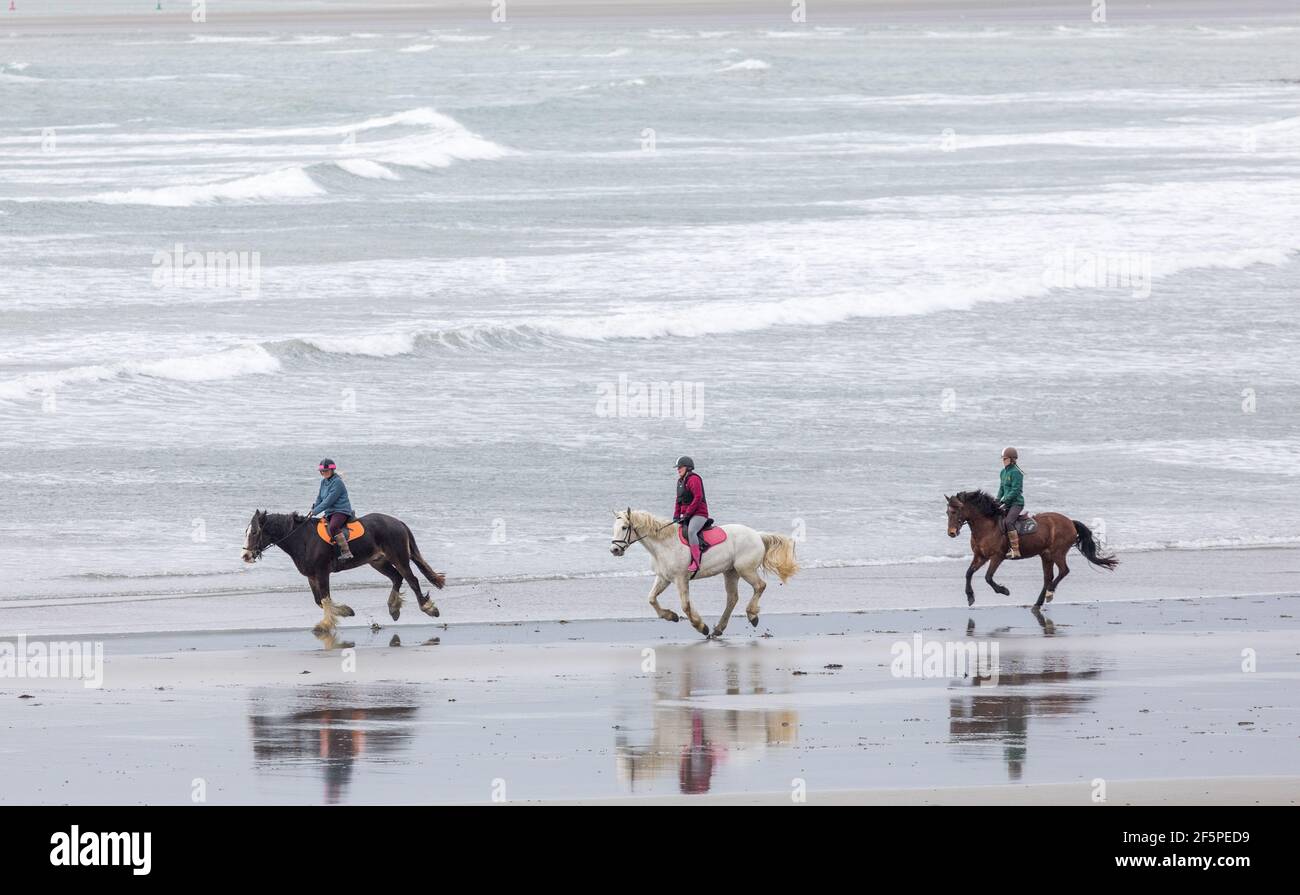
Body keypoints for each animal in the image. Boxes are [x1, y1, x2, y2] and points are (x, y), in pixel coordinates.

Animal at [244, 509, 447, 637]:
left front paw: (325, 625)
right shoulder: (311, 576)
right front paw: (346, 611)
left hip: (399, 557)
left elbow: (325, 599)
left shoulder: (322, 572)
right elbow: (319, 600)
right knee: (397, 578)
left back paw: (428, 608)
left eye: (254, 532)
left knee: (412, 580)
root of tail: (398, 522)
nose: (245, 555)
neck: (303, 539)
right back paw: (393, 608)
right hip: (378, 562)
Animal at [608, 509, 800, 637]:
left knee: (760, 586)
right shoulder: (664, 578)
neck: (664, 545)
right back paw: (719, 629)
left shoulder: (680, 578)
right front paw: (671, 616)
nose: (614, 550)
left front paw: (700, 626)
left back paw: (752, 615)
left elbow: (685, 605)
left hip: (745, 569)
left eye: (624, 527)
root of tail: (757, 535)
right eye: (614, 527)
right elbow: (651, 598)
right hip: (730, 572)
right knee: (732, 598)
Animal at [946, 489, 1118, 608]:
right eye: (947, 512)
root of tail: (1070, 522)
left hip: (1057, 552)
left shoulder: (997, 556)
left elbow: (988, 577)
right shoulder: (981, 556)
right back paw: (1039, 602)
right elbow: (968, 573)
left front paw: (1004, 591)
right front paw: (970, 597)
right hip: (1046, 555)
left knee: (1063, 571)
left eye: (956, 511)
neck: (987, 526)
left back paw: (1049, 593)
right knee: (1048, 577)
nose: (951, 533)